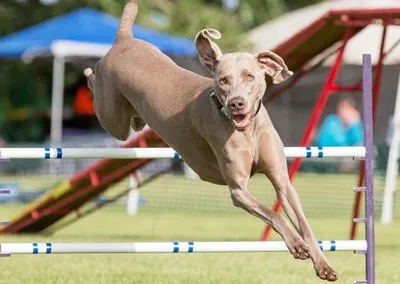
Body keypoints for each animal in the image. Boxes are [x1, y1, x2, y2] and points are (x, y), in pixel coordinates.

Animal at [84, 0, 338, 280]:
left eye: (250, 76)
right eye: (223, 80)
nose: (236, 103)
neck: (246, 130)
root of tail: (124, 39)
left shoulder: (282, 180)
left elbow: (302, 221)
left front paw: (322, 264)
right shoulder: (238, 190)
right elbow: (274, 214)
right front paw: (296, 245)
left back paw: (138, 119)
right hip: (112, 117)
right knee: (95, 86)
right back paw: (90, 73)